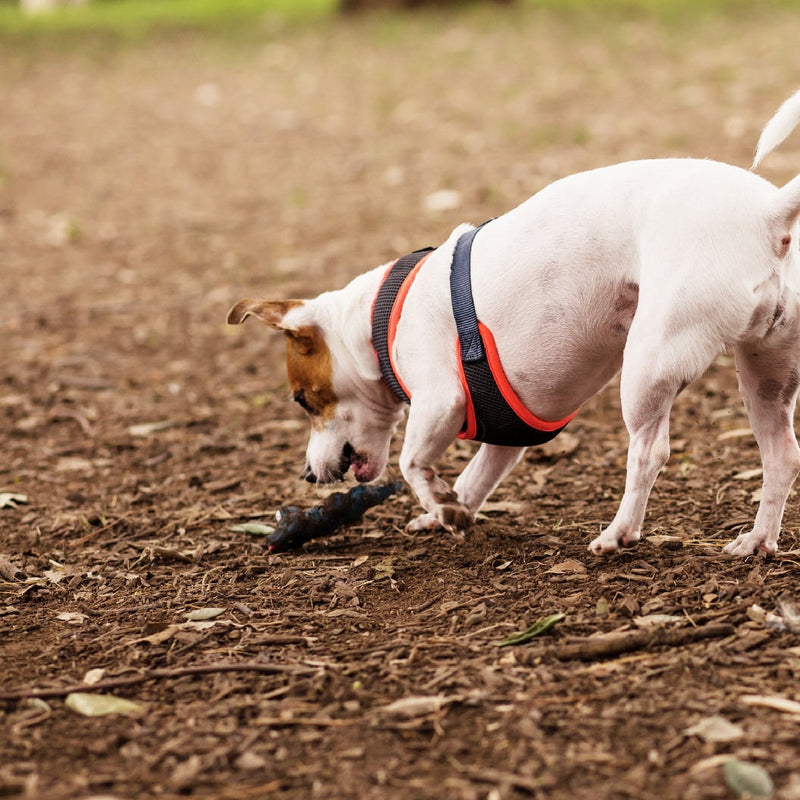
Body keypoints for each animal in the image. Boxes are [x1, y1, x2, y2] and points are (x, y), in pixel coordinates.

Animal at [225, 90, 800, 556]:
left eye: (303, 400)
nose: (307, 474)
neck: (378, 318)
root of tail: (768, 213)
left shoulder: (441, 401)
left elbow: (411, 462)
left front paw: (442, 505)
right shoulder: (509, 435)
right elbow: (476, 477)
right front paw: (445, 513)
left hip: (650, 363)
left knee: (649, 453)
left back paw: (619, 534)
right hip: (765, 377)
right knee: (781, 457)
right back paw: (758, 541)